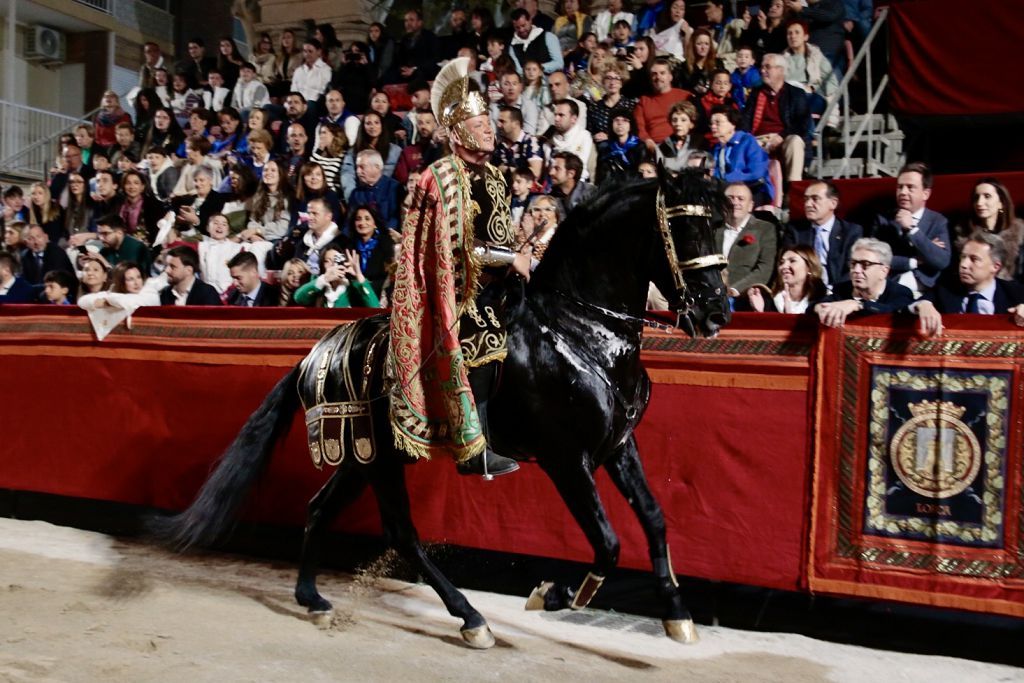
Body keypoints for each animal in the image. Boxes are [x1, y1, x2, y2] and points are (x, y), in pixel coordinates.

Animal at [151, 167, 729, 651]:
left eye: (721, 224)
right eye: (685, 230)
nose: (716, 311)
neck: (584, 332)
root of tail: (314, 356)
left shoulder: (618, 446)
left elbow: (653, 518)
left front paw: (677, 614)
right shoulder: (567, 460)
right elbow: (608, 541)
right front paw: (553, 594)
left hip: (365, 459)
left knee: (321, 509)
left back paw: (312, 599)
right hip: (380, 460)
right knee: (402, 535)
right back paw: (471, 618)